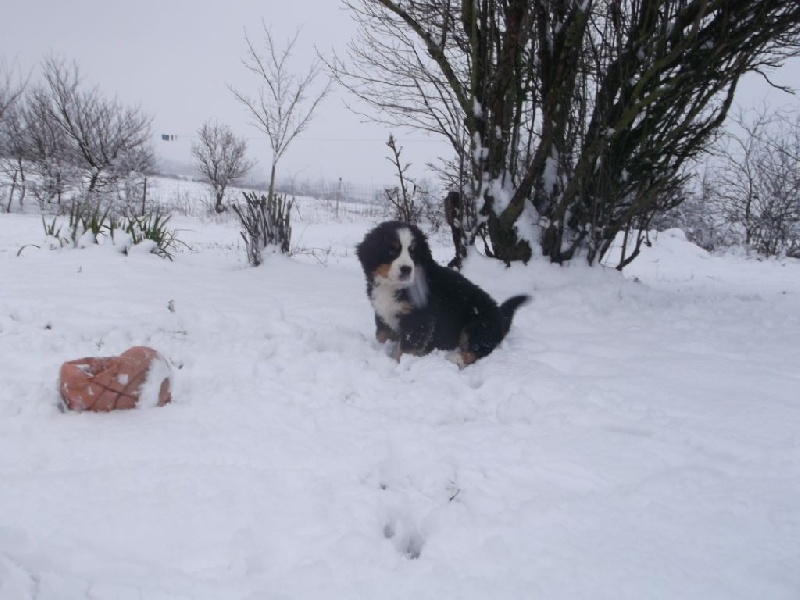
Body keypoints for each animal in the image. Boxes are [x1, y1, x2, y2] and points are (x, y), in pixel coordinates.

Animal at [356, 221, 532, 366]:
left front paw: (401, 365)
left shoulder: (419, 318)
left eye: (413, 253)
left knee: (478, 348)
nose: (406, 269)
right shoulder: (383, 312)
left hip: (478, 323)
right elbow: (382, 335)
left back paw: (456, 358)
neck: (393, 286)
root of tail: (501, 317)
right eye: (392, 251)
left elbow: (407, 347)